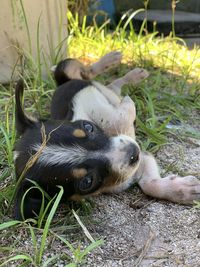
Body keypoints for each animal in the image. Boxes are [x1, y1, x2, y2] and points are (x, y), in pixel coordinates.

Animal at [50, 51, 200, 205]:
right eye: (87, 182)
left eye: (88, 128)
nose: (133, 151)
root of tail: (62, 83)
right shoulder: (140, 161)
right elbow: (149, 185)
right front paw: (184, 190)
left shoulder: (84, 102)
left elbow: (113, 119)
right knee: (113, 85)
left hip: (71, 71)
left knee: (89, 74)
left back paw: (119, 64)